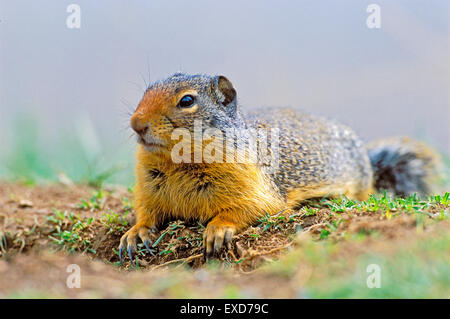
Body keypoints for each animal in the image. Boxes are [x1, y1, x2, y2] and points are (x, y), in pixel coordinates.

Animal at [118, 73, 442, 262]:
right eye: (145, 92)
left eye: (187, 100)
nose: (136, 123)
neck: (178, 162)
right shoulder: (148, 189)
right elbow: (146, 212)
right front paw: (134, 233)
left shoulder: (253, 187)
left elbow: (250, 209)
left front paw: (217, 230)